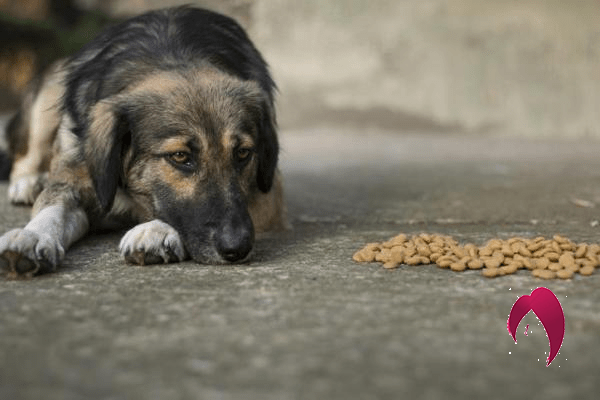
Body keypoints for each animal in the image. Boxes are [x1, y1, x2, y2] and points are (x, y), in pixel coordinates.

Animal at [0, 5, 286, 278]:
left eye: (243, 153)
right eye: (180, 156)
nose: (237, 248)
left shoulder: (268, 195)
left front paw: (157, 230)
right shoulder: (75, 177)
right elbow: (51, 208)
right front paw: (33, 235)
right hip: (49, 94)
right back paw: (28, 182)